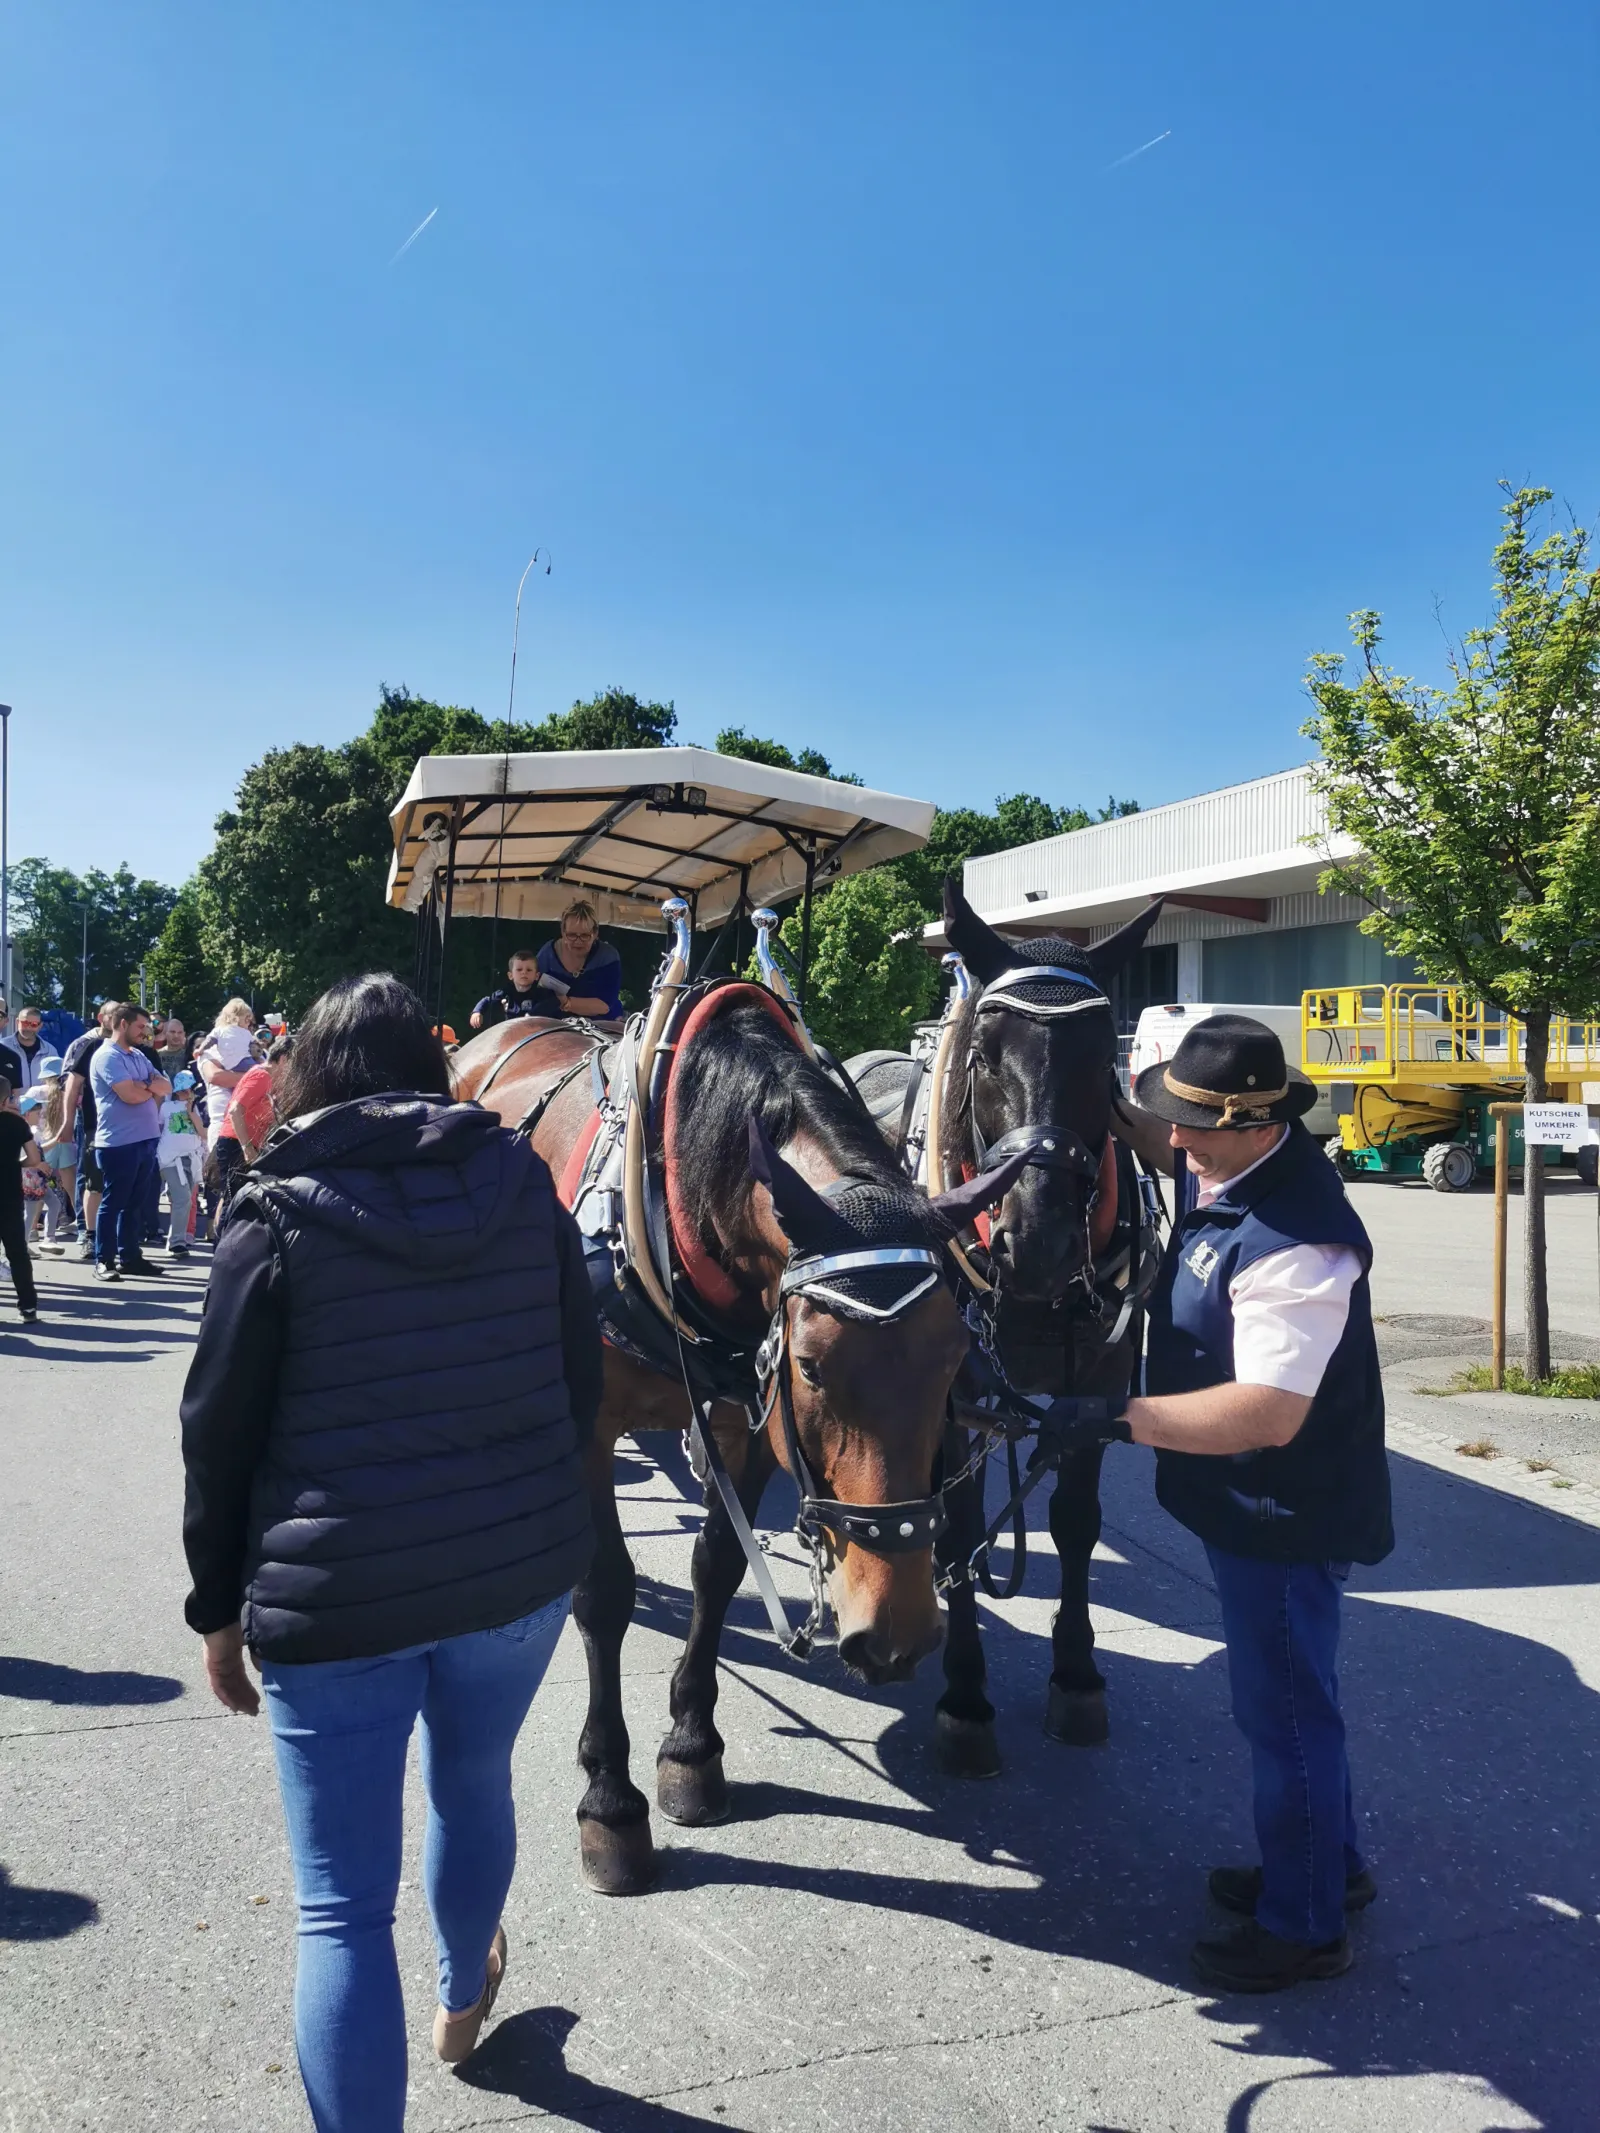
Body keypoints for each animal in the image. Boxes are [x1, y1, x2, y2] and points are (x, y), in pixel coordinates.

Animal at [452, 987, 1025, 1893]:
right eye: (813, 1366)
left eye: (952, 1359)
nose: (897, 1635)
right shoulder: (589, 1422)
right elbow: (604, 1592)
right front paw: (610, 1799)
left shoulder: (746, 1422)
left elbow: (719, 1566)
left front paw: (691, 1749)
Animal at [845, 881, 1166, 1771]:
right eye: (984, 1055)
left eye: (1102, 1060)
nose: (1040, 1240)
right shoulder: (951, 1391)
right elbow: (957, 1526)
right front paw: (965, 1696)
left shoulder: (1098, 1383)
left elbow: (1078, 1523)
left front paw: (1077, 1674)